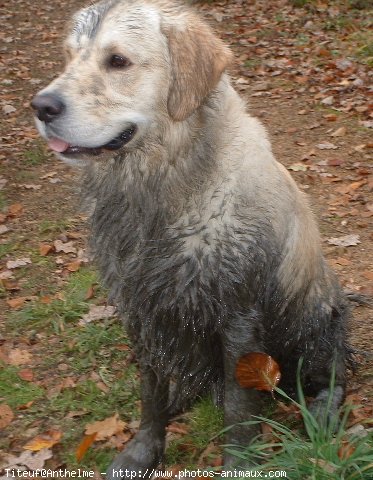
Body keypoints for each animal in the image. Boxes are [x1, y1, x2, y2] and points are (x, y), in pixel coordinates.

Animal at [31, 0, 348, 476]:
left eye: (117, 61)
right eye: (69, 57)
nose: (41, 106)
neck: (164, 187)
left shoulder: (238, 313)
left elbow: (237, 407)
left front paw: (239, 463)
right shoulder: (139, 306)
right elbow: (150, 391)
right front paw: (145, 448)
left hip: (311, 316)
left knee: (336, 370)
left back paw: (324, 408)